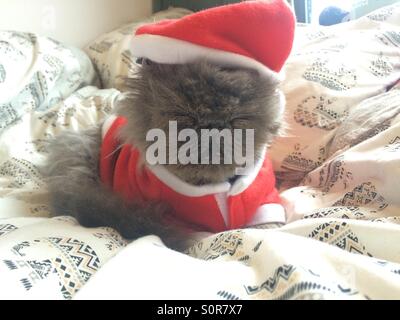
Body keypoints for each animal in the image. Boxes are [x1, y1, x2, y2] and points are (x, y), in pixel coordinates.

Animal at [42, 59, 282, 250]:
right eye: (184, 116)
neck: (212, 187)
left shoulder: (266, 201)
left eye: (237, 119)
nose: (212, 126)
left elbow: (268, 227)